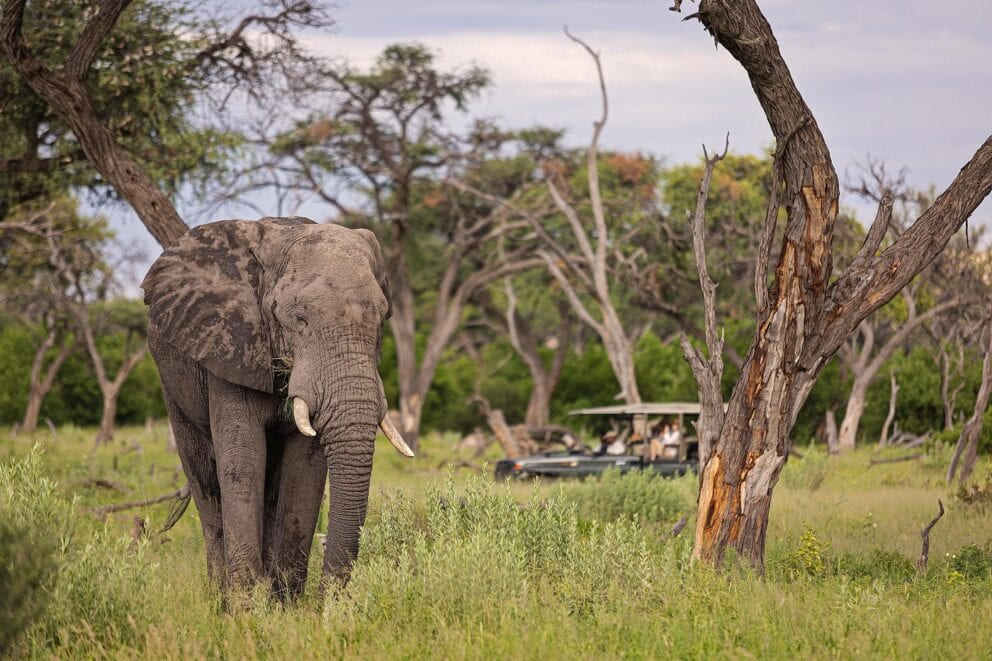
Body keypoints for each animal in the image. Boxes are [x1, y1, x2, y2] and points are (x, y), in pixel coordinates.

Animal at [141, 216, 413, 597]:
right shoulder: (231, 342)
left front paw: (285, 604)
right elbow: (242, 460)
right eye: (299, 318)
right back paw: (218, 596)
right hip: (171, 379)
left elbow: (305, 469)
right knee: (204, 477)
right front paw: (245, 606)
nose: (328, 601)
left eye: (383, 318)